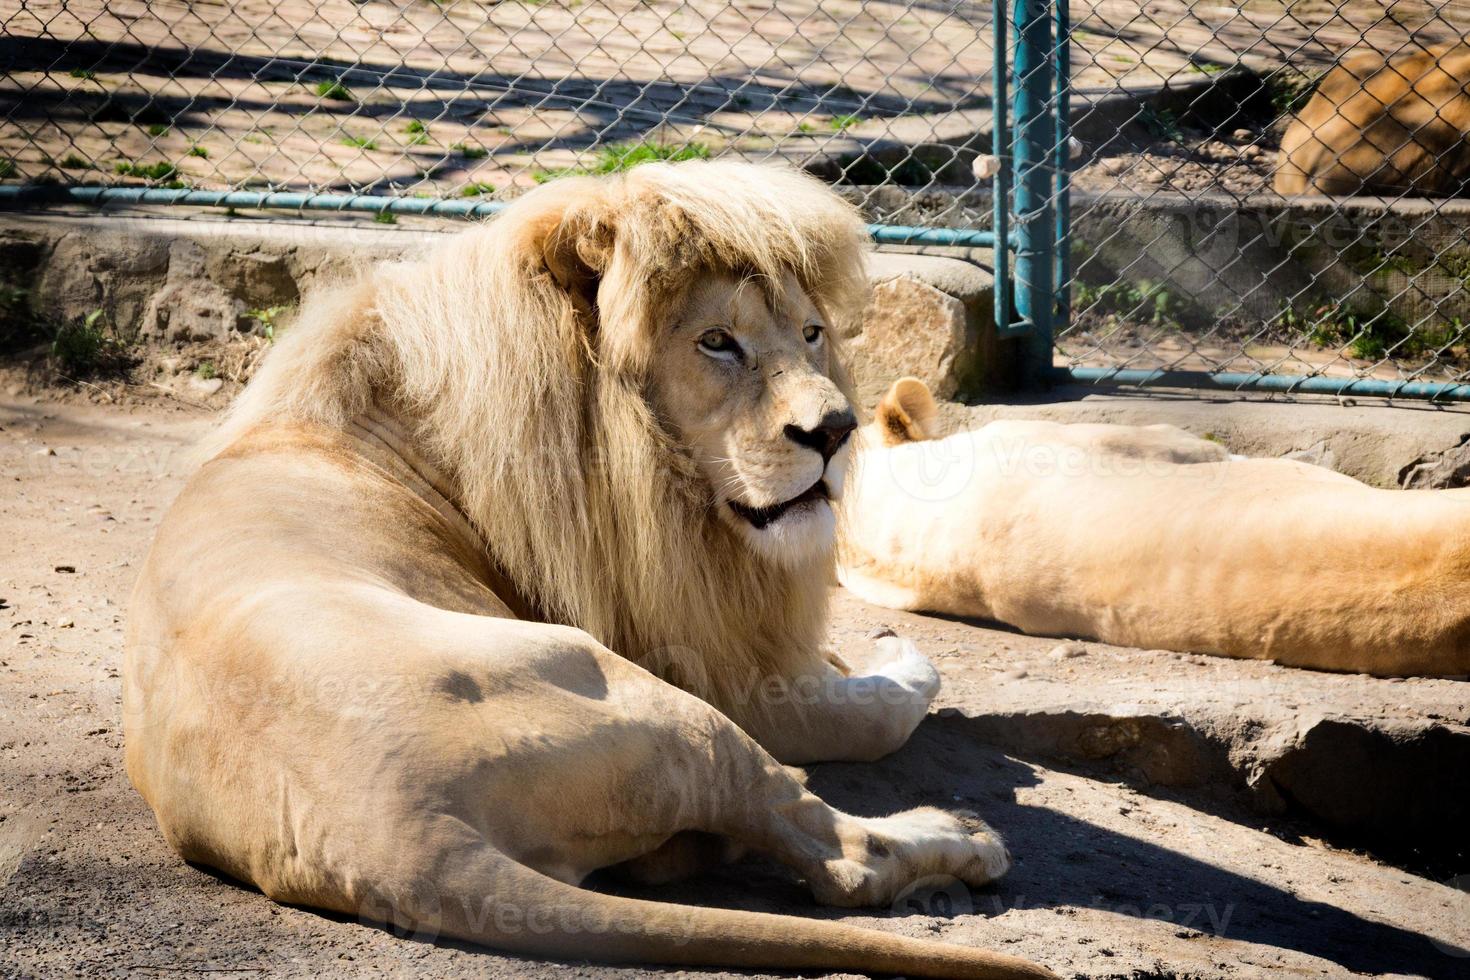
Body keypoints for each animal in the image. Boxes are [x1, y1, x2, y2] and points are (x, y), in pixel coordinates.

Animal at [120, 164, 1052, 975]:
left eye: (812, 335)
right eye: (718, 342)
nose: (835, 431)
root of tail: (396, 837)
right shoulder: (699, 662)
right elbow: (862, 717)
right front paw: (890, 662)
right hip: (654, 702)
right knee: (836, 851)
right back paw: (964, 837)